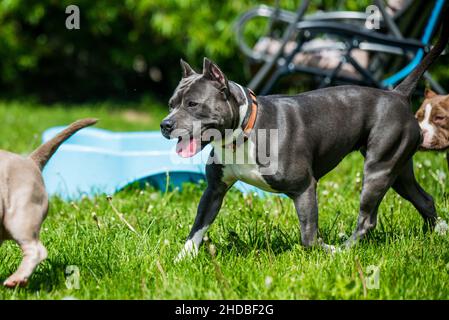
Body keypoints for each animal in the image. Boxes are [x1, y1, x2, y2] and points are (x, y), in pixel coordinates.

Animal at [161, 9, 448, 260]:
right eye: (171, 103)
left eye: (193, 104)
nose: (165, 124)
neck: (244, 132)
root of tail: (398, 94)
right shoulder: (214, 190)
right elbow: (197, 228)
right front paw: (181, 259)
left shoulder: (304, 188)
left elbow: (309, 237)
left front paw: (325, 250)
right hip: (398, 169)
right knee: (424, 200)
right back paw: (439, 232)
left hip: (378, 170)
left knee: (367, 219)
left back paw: (343, 250)